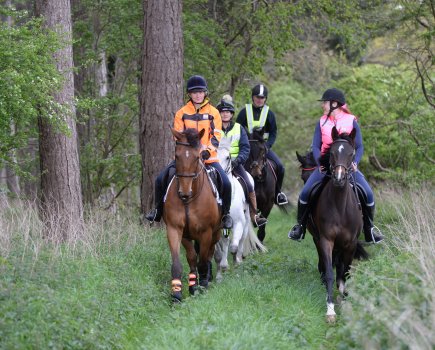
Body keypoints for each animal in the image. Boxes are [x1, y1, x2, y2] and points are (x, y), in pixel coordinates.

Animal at [165, 127, 223, 302]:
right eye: (177, 155)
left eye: (197, 157)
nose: (184, 192)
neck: (188, 201)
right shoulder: (176, 229)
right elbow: (182, 262)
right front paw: (178, 294)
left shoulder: (206, 232)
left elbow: (203, 262)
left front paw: (203, 286)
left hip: (216, 233)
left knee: (209, 255)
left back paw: (206, 280)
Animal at [214, 137, 266, 282]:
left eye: (228, 157)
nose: (219, 174)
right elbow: (221, 248)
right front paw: (222, 270)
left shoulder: (238, 223)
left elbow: (234, 247)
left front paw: (236, 263)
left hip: (247, 219)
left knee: (242, 239)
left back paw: (239, 259)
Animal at [308, 127, 370, 324]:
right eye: (333, 153)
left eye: (351, 154)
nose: (339, 178)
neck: (340, 205)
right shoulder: (326, 240)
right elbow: (330, 272)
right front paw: (330, 310)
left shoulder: (350, 244)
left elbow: (345, 273)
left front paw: (345, 301)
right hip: (318, 239)